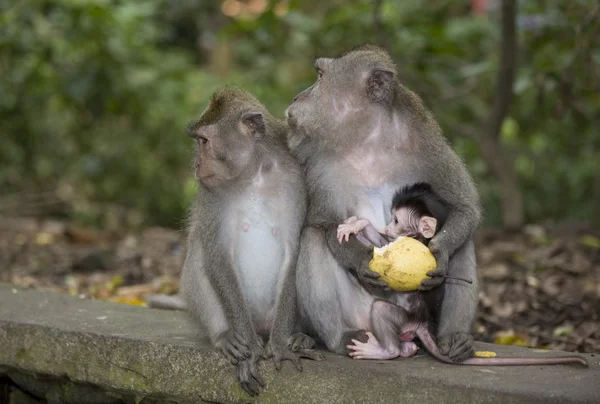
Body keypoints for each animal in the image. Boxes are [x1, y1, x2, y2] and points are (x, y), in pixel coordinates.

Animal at [180, 87, 324, 394]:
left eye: (204, 141)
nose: (196, 163)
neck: (253, 173)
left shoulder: (296, 181)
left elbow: (294, 251)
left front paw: (281, 346)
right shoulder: (209, 192)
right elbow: (217, 255)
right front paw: (250, 352)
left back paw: (301, 336)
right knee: (199, 249)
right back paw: (225, 335)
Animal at [286, 45, 482, 362]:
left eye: (319, 77)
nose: (297, 97)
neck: (368, 141)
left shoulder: (429, 145)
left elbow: (464, 209)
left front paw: (439, 255)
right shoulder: (317, 162)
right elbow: (323, 223)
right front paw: (359, 259)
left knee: (463, 241)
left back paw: (454, 339)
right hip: (361, 312)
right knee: (314, 238)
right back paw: (338, 338)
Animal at [338, 183, 592, 366]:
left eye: (397, 220)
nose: (388, 227)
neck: (423, 238)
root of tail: (422, 323)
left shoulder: (416, 244)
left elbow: (388, 250)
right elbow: (381, 245)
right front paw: (358, 225)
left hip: (406, 319)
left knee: (382, 310)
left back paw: (388, 351)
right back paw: (407, 349)